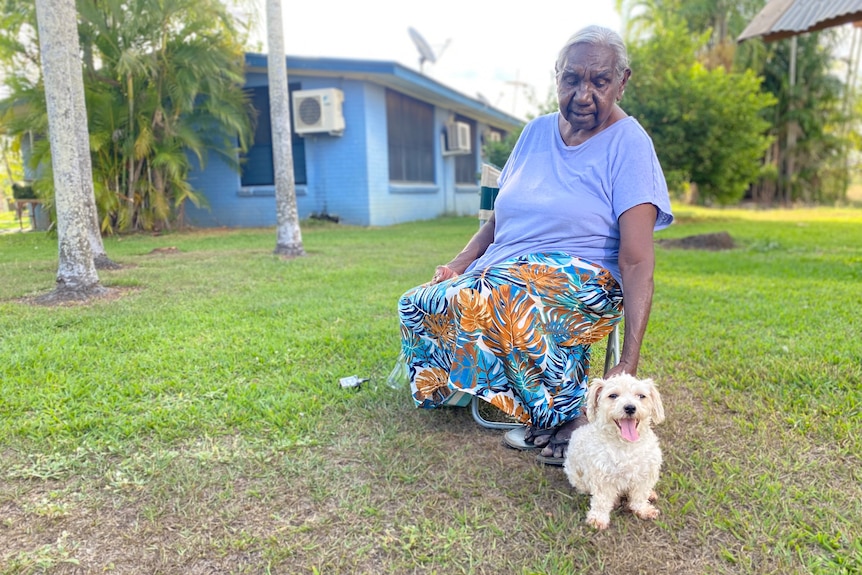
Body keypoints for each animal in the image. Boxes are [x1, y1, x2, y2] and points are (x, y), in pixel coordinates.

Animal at [564, 374, 664, 532]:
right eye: (613, 395)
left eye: (641, 396)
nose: (630, 407)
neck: (626, 446)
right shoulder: (602, 478)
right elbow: (602, 500)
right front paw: (598, 519)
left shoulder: (645, 474)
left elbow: (640, 496)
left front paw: (643, 510)